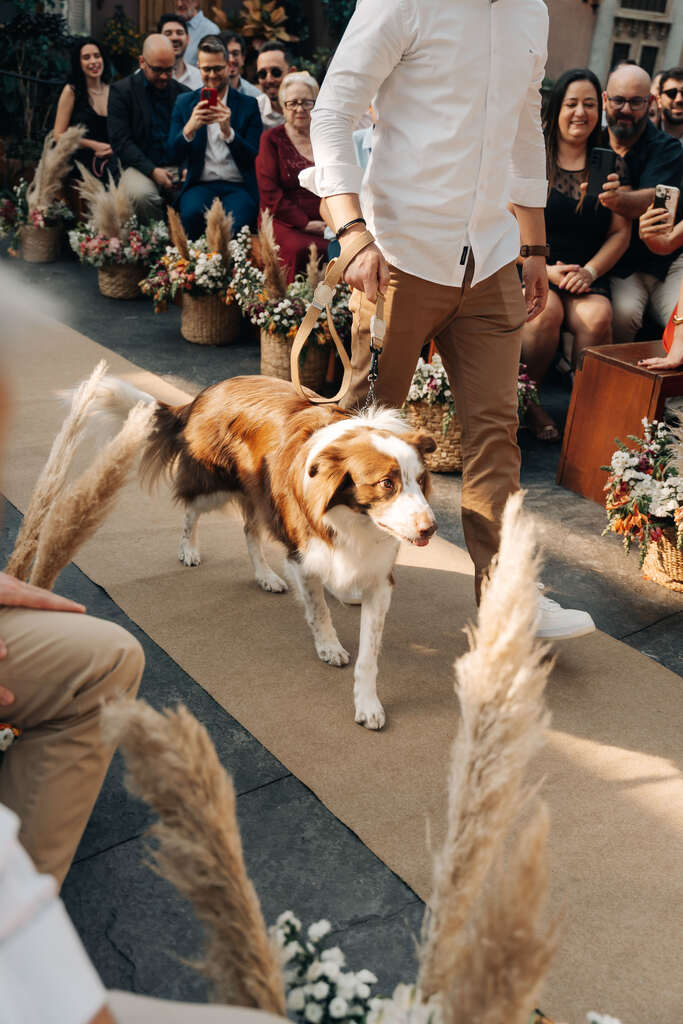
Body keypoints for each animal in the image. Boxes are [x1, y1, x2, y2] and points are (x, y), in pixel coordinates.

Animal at [89, 376, 438, 729]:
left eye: (421, 481)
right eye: (386, 483)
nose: (430, 529)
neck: (354, 517)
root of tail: (206, 393)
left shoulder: (379, 579)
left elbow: (369, 652)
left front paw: (368, 704)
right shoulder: (302, 555)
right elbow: (318, 610)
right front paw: (328, 646)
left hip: (258, 494)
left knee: (249, 531)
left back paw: (265, 576)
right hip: (217, 485)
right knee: (191, 509)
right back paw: (188, 549)